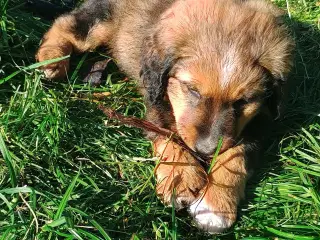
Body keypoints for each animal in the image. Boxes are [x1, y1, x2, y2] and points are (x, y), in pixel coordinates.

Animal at [36, 0, 294, 233]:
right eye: (192, 90)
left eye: (243, 101)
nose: (206, 151)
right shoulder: (156, 100)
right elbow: (167, 134)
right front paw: (179, 177)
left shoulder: (262, 119)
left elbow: (237, 154)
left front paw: (215, 206)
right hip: (101, 21)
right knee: (68, 23)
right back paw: (51, 59)